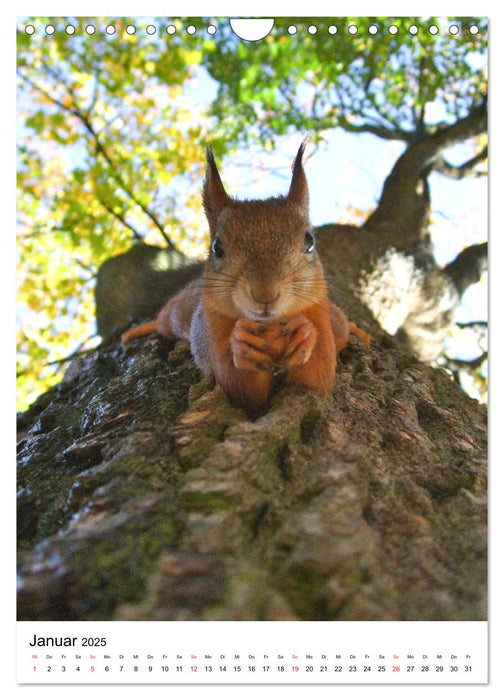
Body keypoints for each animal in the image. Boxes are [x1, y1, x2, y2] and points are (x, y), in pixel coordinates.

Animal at [119, 142, 368, 412]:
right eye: (217, 247)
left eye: (309, 241)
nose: (265, 294)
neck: (270, 326)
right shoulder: (213, 329)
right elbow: (241, 389)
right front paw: (241, 342)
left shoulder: (318, 314)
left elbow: (317, 377)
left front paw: (305, 333)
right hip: (177, 314)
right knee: (163, 320)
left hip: (335, 322)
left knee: (342, 326)